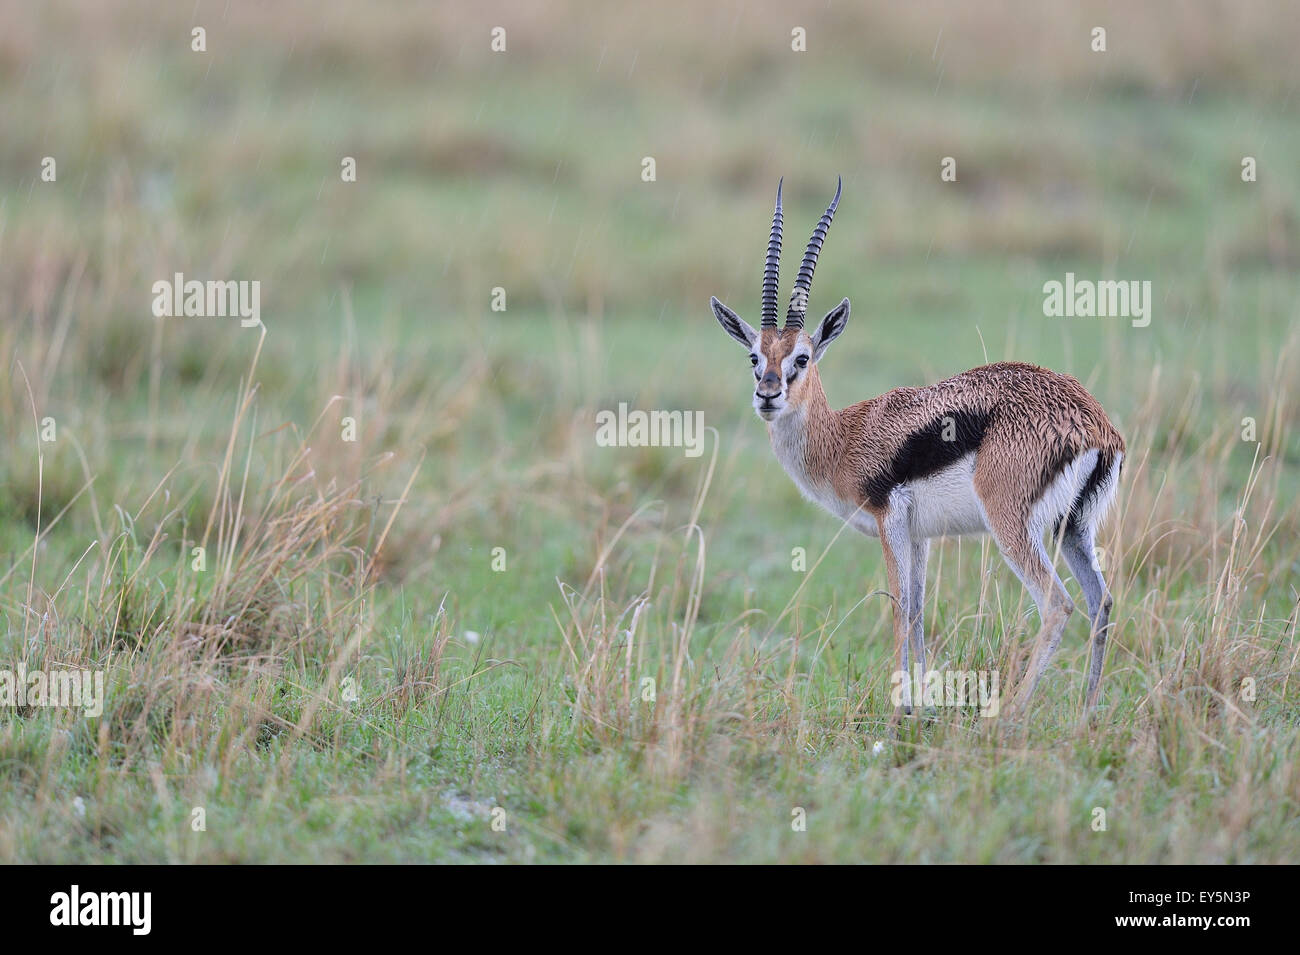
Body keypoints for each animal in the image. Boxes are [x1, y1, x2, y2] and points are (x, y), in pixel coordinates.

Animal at [710, 178, 1124, 713]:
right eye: (754, 357)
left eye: (801, 358)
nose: (767, 394)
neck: (844, 436)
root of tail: (1094, 425)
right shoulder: (920, 535)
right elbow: (920, 612)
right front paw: (921, 706)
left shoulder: (889, 521)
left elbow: (898, 609)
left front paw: (899, 710)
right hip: (1074, 528)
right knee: (1100, 602)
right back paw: (1085, 716)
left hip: (1013, 524)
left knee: (1058, 605)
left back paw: (1009, 716)